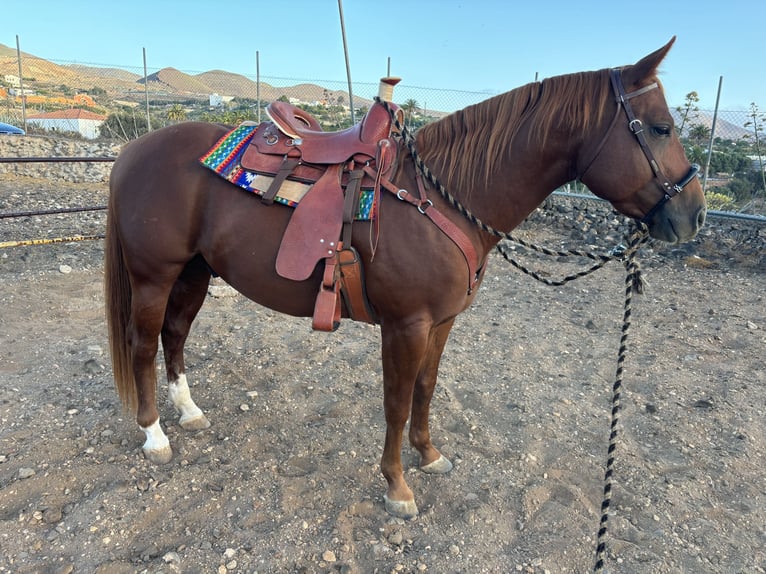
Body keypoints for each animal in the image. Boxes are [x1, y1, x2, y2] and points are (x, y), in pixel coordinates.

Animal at [103, 38, 708, 520]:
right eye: (661, 128)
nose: (695, 216)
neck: (439, 198)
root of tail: (133, 150)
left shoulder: (440, 323)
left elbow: (425, 389)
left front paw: (429, 454)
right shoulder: (405, 326)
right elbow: (395, 401)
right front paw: (397, 487)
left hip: (194, 273)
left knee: (175, 335)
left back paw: (189, 413)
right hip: (155, 275)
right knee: (142, 343)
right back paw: (154, 435)